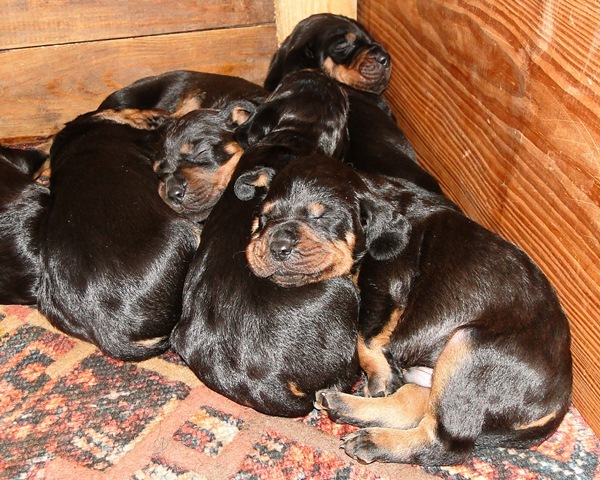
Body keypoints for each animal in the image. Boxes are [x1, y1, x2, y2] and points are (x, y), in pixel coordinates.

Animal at [242, 154, 572, 465]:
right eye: (264, 217)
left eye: (323, 218)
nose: (277, 246)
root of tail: (558, 406)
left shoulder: (384, 285)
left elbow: (365, 336)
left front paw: (379, 378)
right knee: (414, 403)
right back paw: (345, 407)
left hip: (470, 349)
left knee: (446, 444)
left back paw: (373, 440)